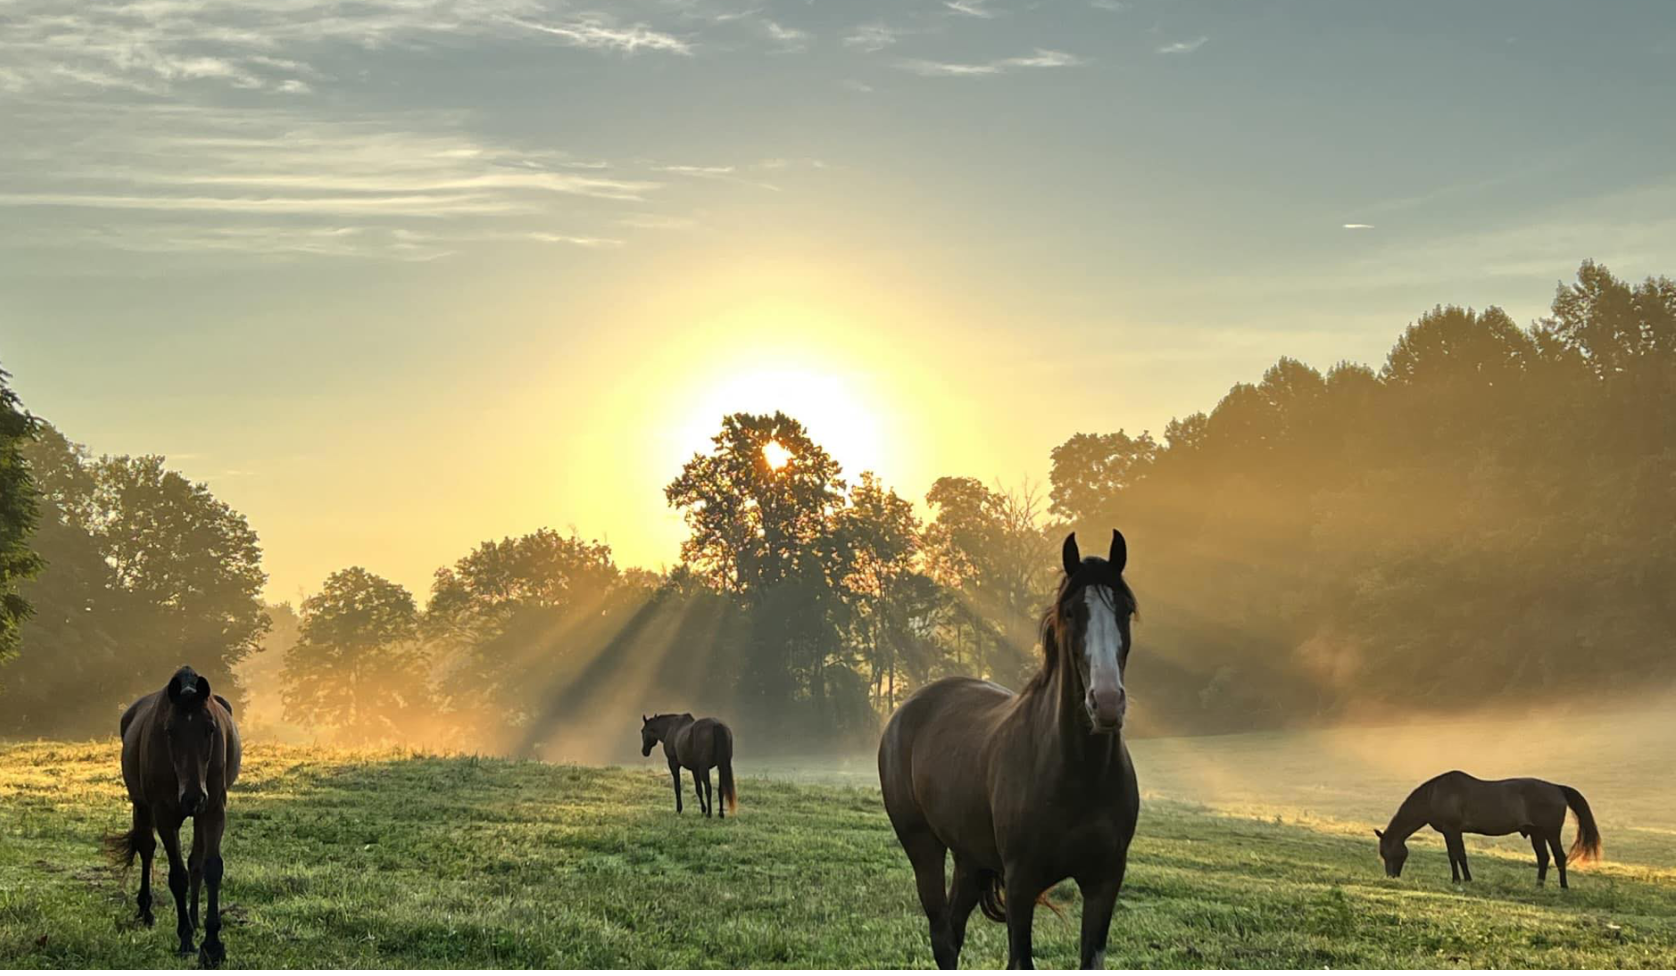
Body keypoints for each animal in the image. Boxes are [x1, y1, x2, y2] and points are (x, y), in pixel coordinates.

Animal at [108, 666, 241, 966]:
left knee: (196, 862)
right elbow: (178, 876)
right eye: (169, 730)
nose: (193, 797)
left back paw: (194, 918)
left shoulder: (213, 810)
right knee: (146, 848)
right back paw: (146, 911)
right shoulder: (164, 815)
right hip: (142, 807)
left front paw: (212, 945)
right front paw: (186, 939)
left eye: (210, 728)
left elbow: (210, 867)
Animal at [879, 530, 1140, 970]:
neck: (1075, 772)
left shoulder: (1104, 881)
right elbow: (1020, 960)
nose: (1105, 703)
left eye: (1125, 610)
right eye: (1071, 612)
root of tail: (906, 710)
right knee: (942, 937)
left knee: (953, 930)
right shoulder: (1021, 883)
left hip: (970, 858)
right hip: (923, 846)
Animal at [1376, 770, 1601, 888]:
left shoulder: (1452, 830)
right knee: (1543, 858)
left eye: (1388, 853)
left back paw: (1563, 887)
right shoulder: (1452, 832)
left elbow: (1456, 855)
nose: (1391, 875)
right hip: (1537, 833)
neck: (1434, 795)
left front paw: (1459, 879)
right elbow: (1458, 855)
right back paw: (1539, 885)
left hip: (1551, 832)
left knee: (1559, 857)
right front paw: (1463, 879)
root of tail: (1557, 789)